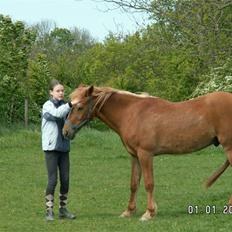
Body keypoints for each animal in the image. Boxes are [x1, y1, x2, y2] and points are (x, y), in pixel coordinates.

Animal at [62, 85, 232, 221]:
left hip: (229, 148)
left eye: (79, 107)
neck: (132, 113)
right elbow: (134, 183)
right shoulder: (134, 156)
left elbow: (149, 184)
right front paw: (129, 211)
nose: (65, 131)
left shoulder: (145, 154)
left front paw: (149, 213)